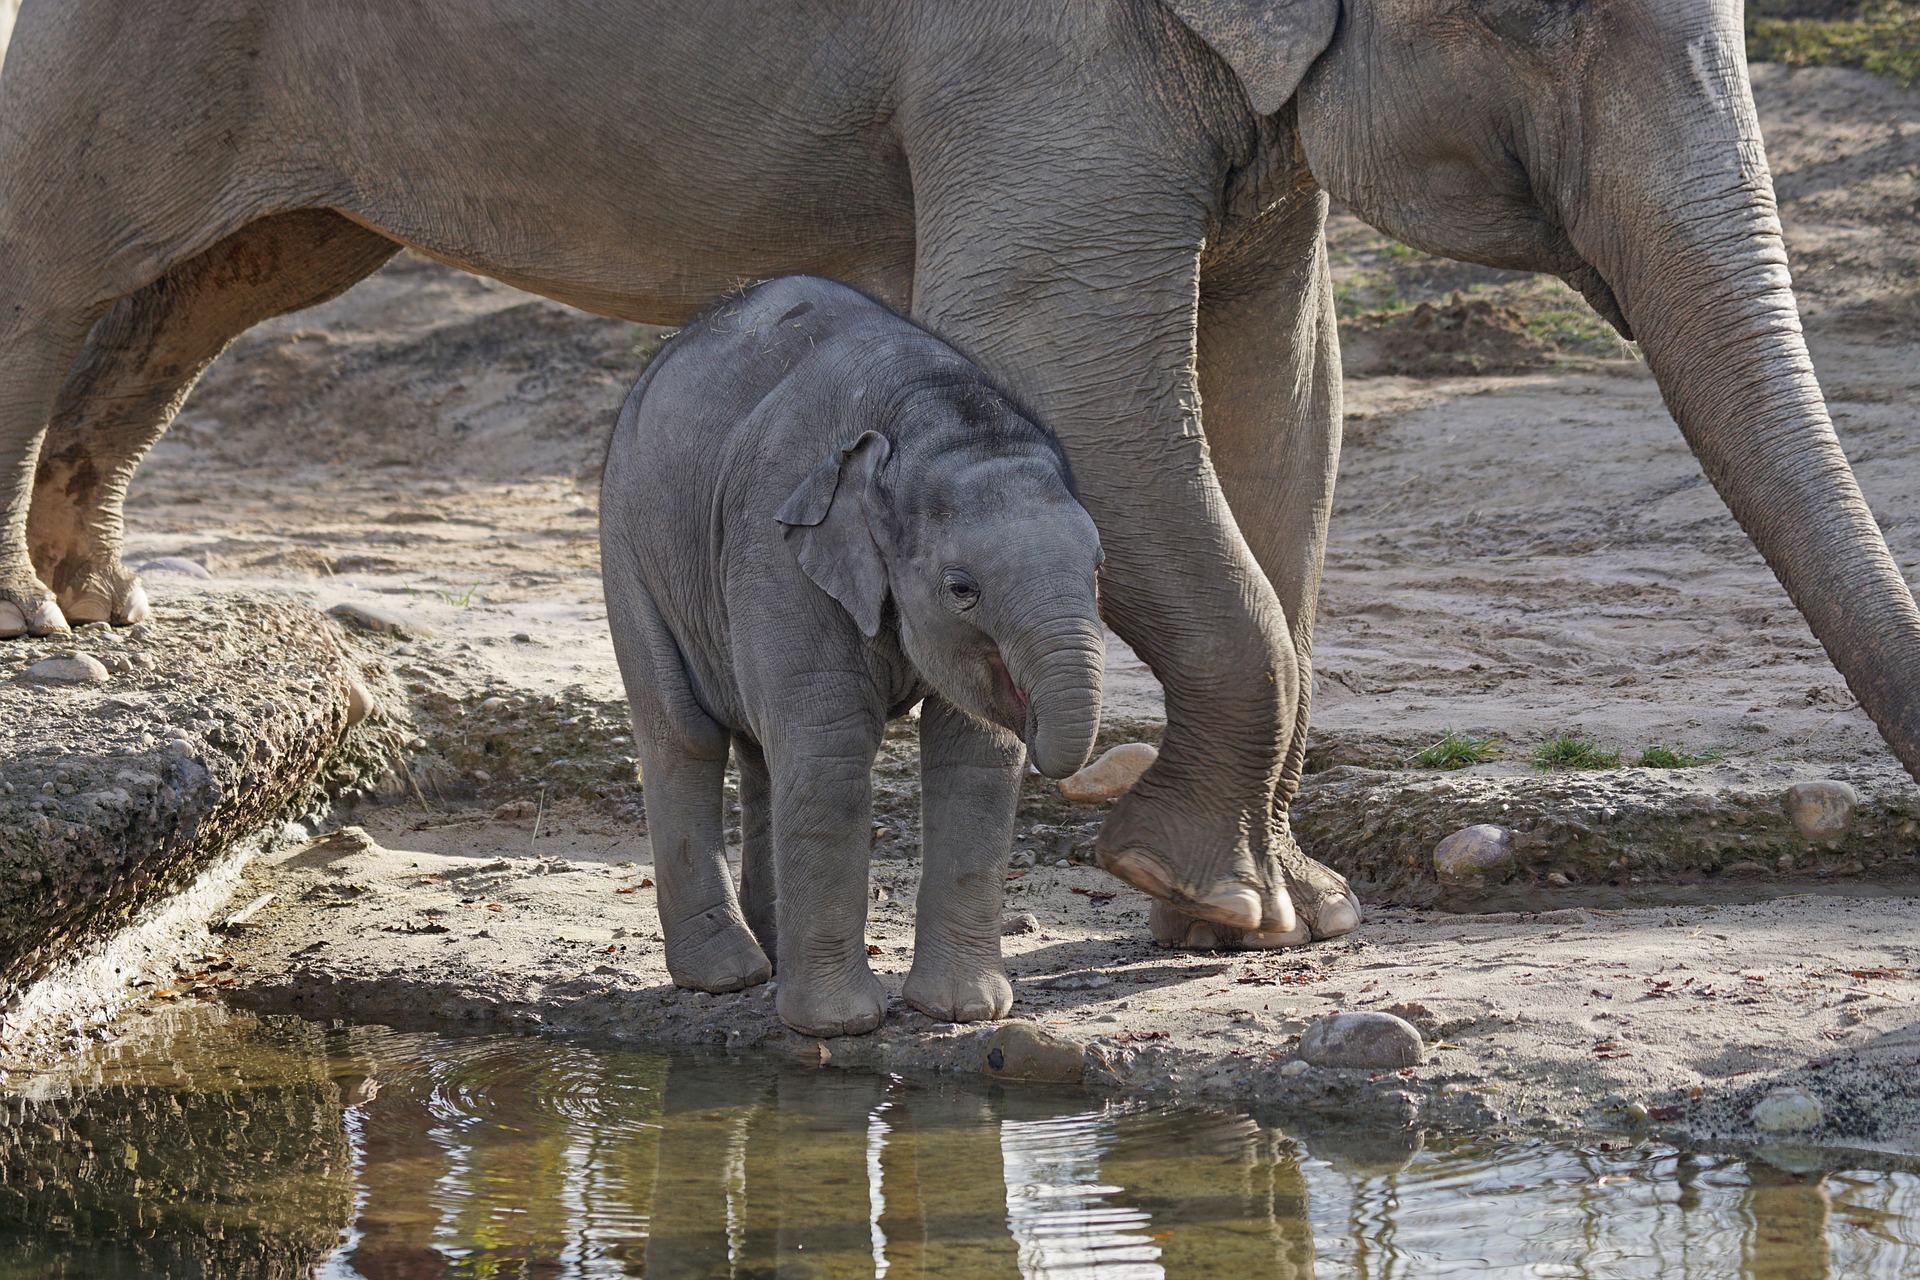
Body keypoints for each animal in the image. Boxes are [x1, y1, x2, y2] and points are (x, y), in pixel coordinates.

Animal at [2, 0, 1914, 953]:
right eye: (1538, 14)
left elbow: (1283, 394)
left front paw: (1280, 917)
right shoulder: (1042, 49)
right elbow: (1060, 356)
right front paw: (1200, 898)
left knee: (231, 271)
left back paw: (113, 606)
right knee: (59, 256)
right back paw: (43, 639)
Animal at [600, 275, 1106, 1037]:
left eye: (1099, 567)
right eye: (961, 588)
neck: (922, 412)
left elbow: (977, 756)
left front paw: (965, 1012)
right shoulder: (775, 542)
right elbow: (830, 747)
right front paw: (838, 1026)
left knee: (762, 751)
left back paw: (772, 953)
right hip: (628, 542)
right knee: (684, 734)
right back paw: (727, 976)